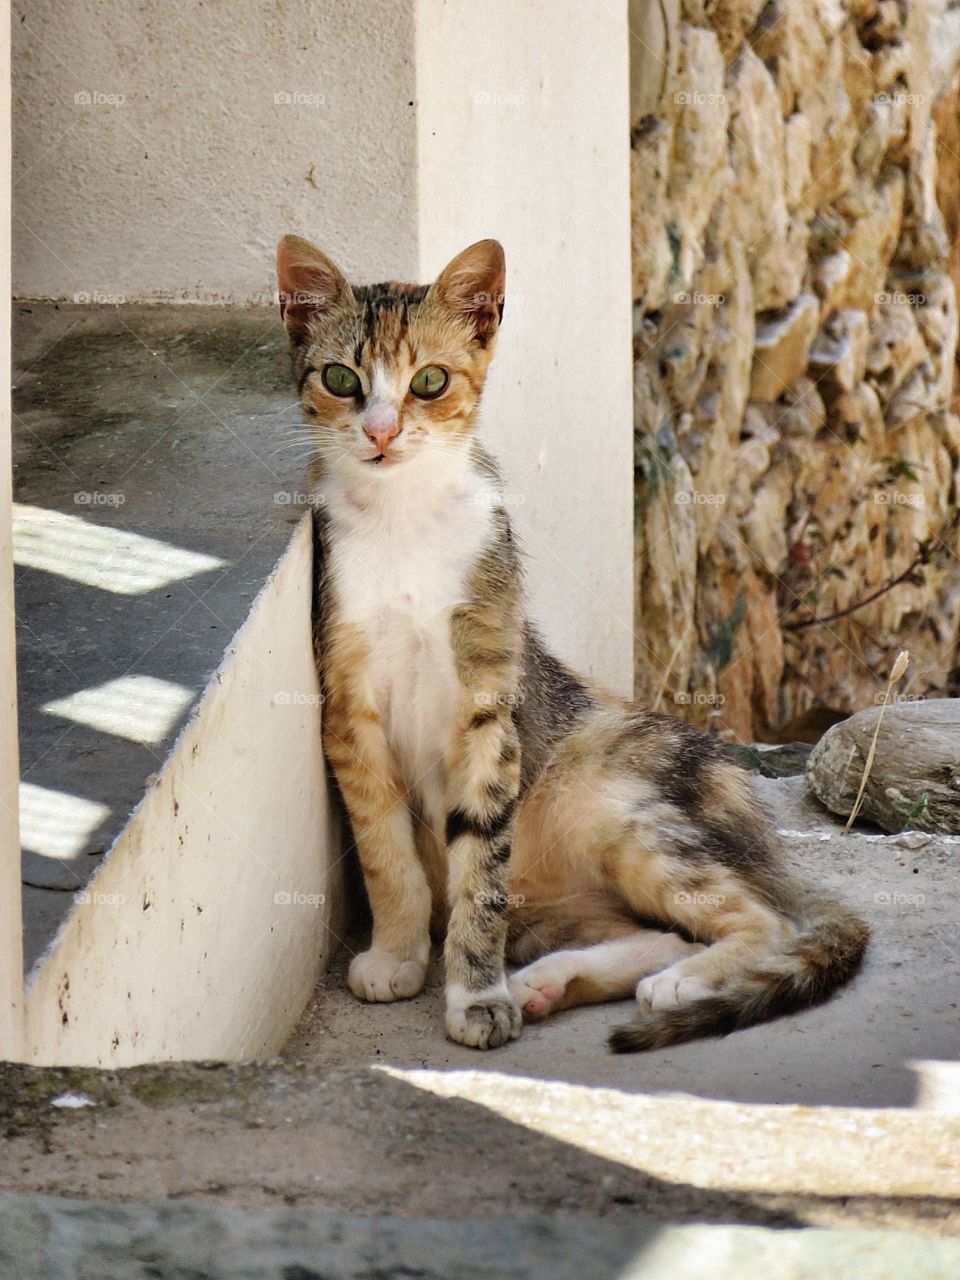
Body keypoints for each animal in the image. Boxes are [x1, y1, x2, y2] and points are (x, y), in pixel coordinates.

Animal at [273, 235, 870, 1054]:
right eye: (341, 379)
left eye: (430, 381)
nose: (382, 432)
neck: (404, 520)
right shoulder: (348, 697)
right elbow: (385, 849)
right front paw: (398, 954)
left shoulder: (489, 697)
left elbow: (479, 868)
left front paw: (476, 996)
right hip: (563, 896)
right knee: (653, 932)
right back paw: (550, 982)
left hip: (619, 810)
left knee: (765, 919)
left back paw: (681, 981)